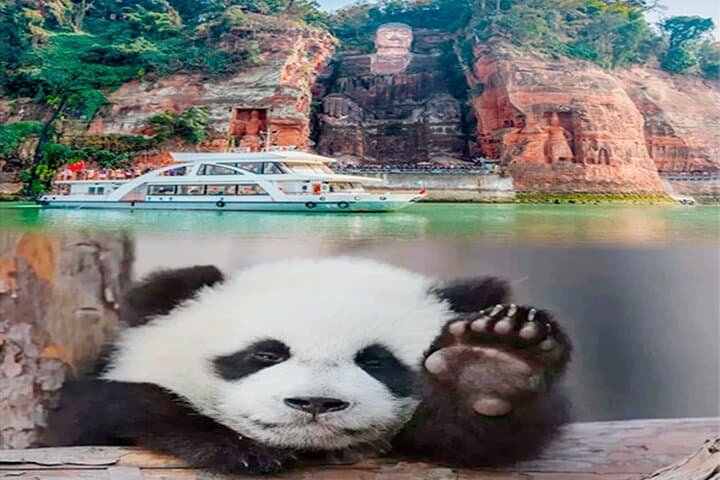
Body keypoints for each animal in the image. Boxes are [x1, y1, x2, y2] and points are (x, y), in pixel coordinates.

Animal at [46, 257, 572, 474]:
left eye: (376, 361)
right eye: (265, 354)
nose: (315, 403)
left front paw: (488, 366)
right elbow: (98, 413)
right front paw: (238, 448)